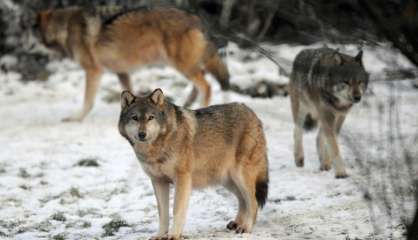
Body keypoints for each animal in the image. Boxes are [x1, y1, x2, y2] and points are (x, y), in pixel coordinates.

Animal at [36, 6, 230, 122]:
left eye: (33, 32)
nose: (35, 53)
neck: (65, 28)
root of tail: (196, 19)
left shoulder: (93, 70)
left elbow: (87, 100)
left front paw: (76, 118)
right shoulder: (122, 72)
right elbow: (130, 95)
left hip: (182, 66)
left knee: (206, 86)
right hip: (186, 66)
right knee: (200, 83)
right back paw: (189, 106)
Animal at [117, 89, 268, 239]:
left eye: (150, 118)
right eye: (135, 118)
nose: (142, 134)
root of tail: (252, 112)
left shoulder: (182, 179)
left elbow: (177, 210)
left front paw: (173, 235)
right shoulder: (158, 181)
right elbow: (163, 214)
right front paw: (160, 235)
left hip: (239, 176)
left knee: (253, 202)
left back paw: (245, 228)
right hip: (227, 180)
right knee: (243, 200)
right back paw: (236, 224)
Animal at [290, 47, 368, 178]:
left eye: (359, 81)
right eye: (346, 82)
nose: (357, 97)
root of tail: (301, 52)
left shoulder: (340, 116)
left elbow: (330, 142)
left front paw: (327, 163)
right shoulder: (327, 114)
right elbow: (334, 147)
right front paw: (341, 173)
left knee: (318, 137)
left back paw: (324, 163)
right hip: (302, 109)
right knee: (297, 131)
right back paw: (299, 158)